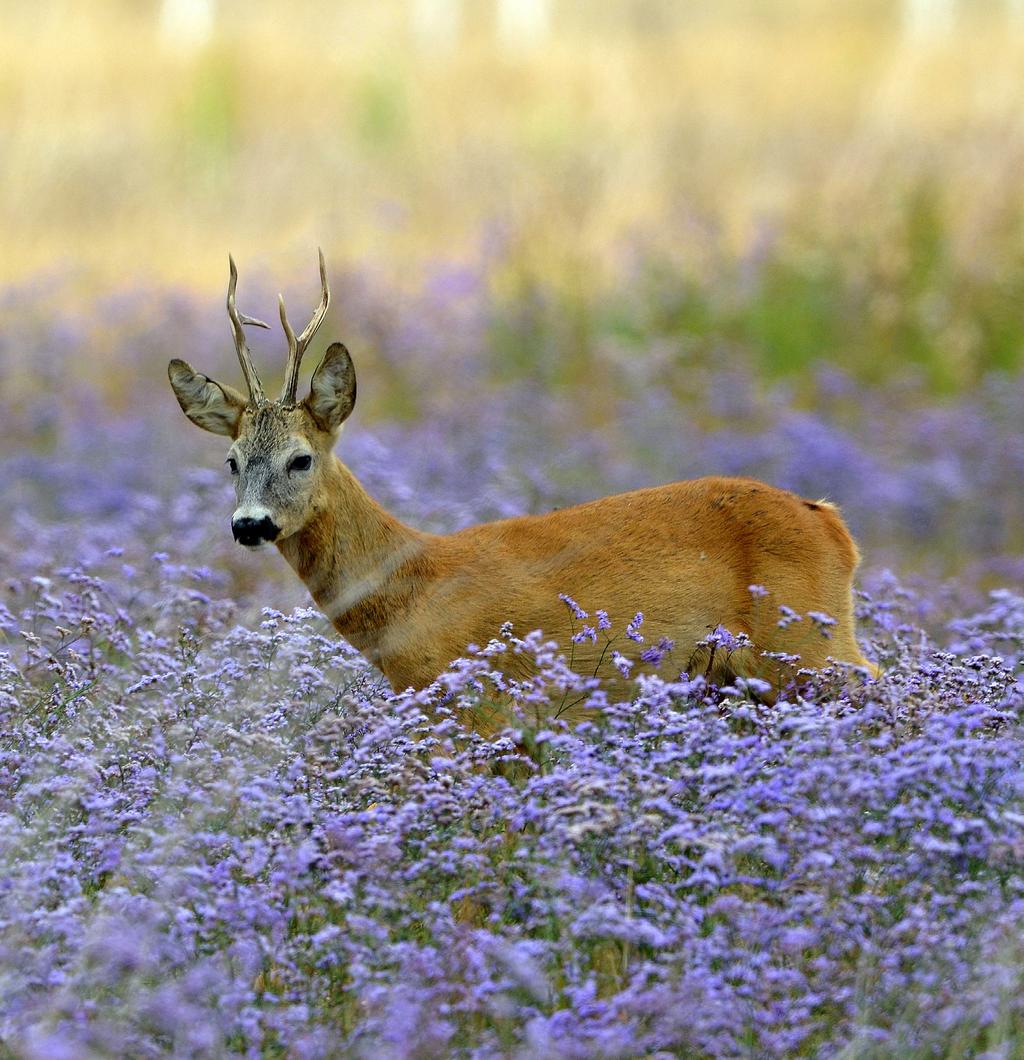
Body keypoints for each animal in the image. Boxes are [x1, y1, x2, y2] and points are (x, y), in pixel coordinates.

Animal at [166, 251, 873, 708]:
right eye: (232, 462)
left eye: (301, 458)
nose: (249, 524)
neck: (416, 587)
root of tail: (832, 522)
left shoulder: (480, 706)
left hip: (807, 645)